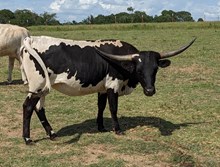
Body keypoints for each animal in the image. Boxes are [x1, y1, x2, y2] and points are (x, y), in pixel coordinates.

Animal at [21, 36, 196, 144]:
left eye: (155, 69)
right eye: (139, 70)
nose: (149, 91)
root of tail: (32, 39)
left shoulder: (103, 88)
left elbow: (101, 106)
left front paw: (101, 127)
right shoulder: (113, 86)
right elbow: (113, 108)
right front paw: (117, 129)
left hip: (43, 88)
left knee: (39, 108)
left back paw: (52, 134)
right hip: (37, 86)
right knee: (28, 107)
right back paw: (27, 139)